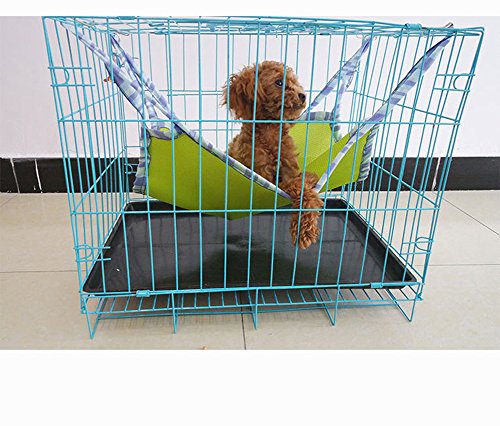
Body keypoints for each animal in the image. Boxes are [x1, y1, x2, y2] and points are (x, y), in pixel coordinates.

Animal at [222, 60, 323, 249]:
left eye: (295, 82)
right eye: (279, 82)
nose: (303, 95)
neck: (270, 132)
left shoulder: (288, 169)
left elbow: (301, 182)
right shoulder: (265, 177)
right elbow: (298, 186)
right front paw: (304, 230)